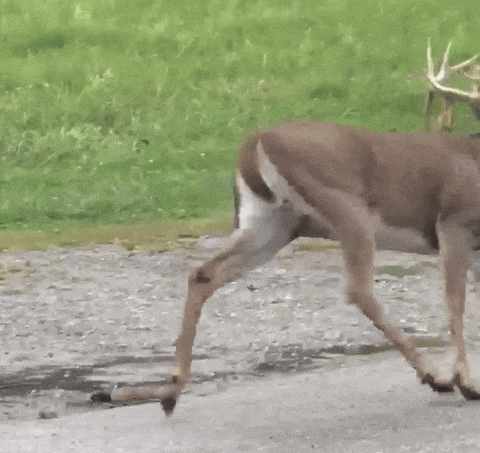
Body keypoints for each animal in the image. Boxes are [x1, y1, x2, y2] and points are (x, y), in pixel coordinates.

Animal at [92, 42, 480, 415]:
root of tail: (255, 143)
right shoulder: (454, 221)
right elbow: (456, 302)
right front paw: (465, 380)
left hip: (271, 223)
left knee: (203, 274)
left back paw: (170, 392)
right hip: (344, 204)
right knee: (359, 290)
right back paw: (436, 377)